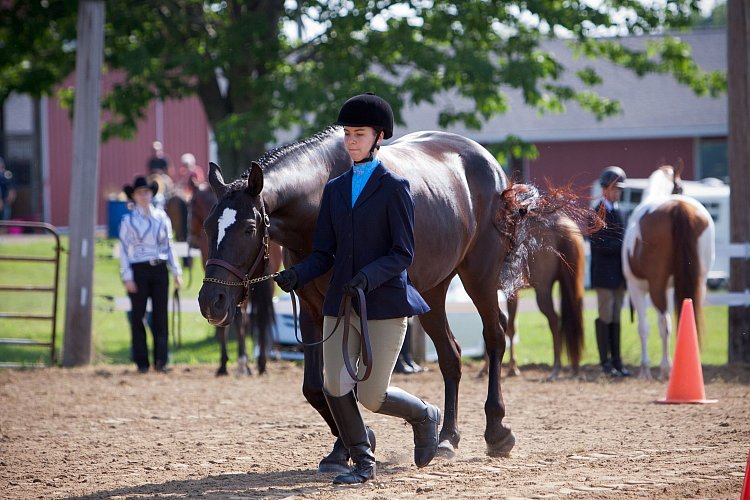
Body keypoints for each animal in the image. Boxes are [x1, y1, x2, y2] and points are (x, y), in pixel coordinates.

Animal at [197, 127, 580, 466]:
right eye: (207, 226)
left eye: (249, 228)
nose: (211, 301)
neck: (318, 202)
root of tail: (492, 166)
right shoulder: (312, 309)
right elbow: (317, 387)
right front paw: (346, 447)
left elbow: (344, 384)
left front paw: (359, 441)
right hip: (430, 291)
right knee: (451, 356)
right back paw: (446, 439)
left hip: (479, 276)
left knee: (495, 337)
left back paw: (497, 431)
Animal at [624, 164, 716, 378]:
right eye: (681, 187)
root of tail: (678, 207)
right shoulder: (671, 287)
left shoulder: (636, 287)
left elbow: (644, 327)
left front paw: (646, 368)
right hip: (700, 283)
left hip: (656, 286)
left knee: (663, 322)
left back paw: (665, 367)